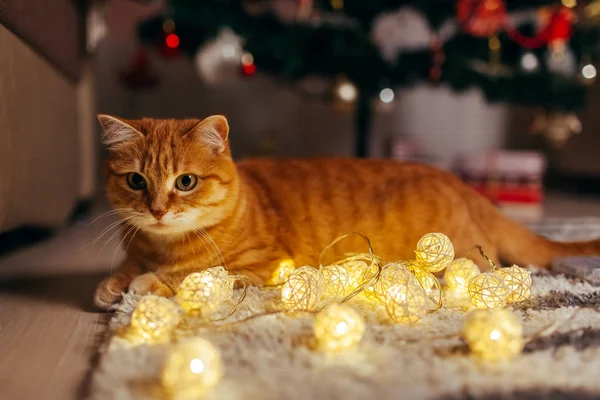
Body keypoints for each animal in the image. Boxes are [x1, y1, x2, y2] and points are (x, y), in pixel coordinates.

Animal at [92, 115, 600, 310]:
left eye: (185, 182)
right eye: (136, 181)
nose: (158, 210)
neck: (162, 244)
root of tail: (460, 184)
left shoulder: (258, 267)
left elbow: (189, 276)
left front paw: (146, 284)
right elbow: (128, 267)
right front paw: (113, 283)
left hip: (460, 258)